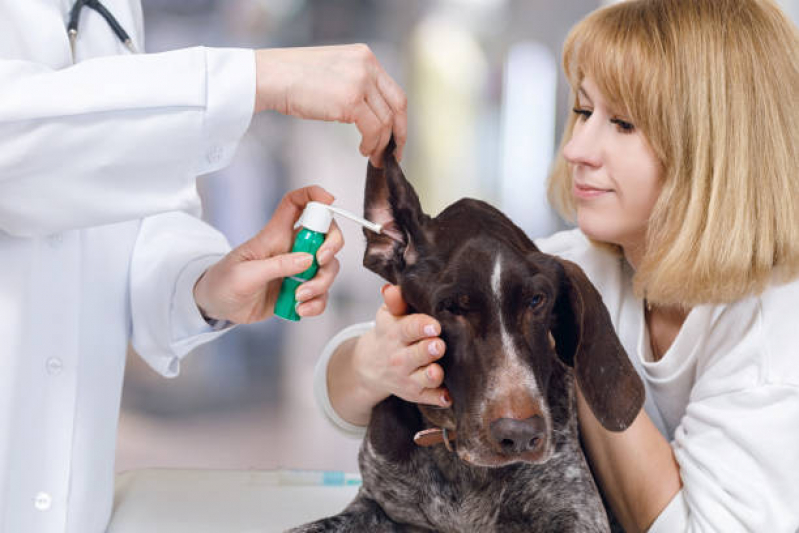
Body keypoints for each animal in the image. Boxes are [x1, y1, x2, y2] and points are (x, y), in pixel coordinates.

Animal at [292, 140, 644, 532]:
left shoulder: (576, 514)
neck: (457, 458)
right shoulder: (376, 504)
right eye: (451, 308)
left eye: (537, 301)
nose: (520, 434)